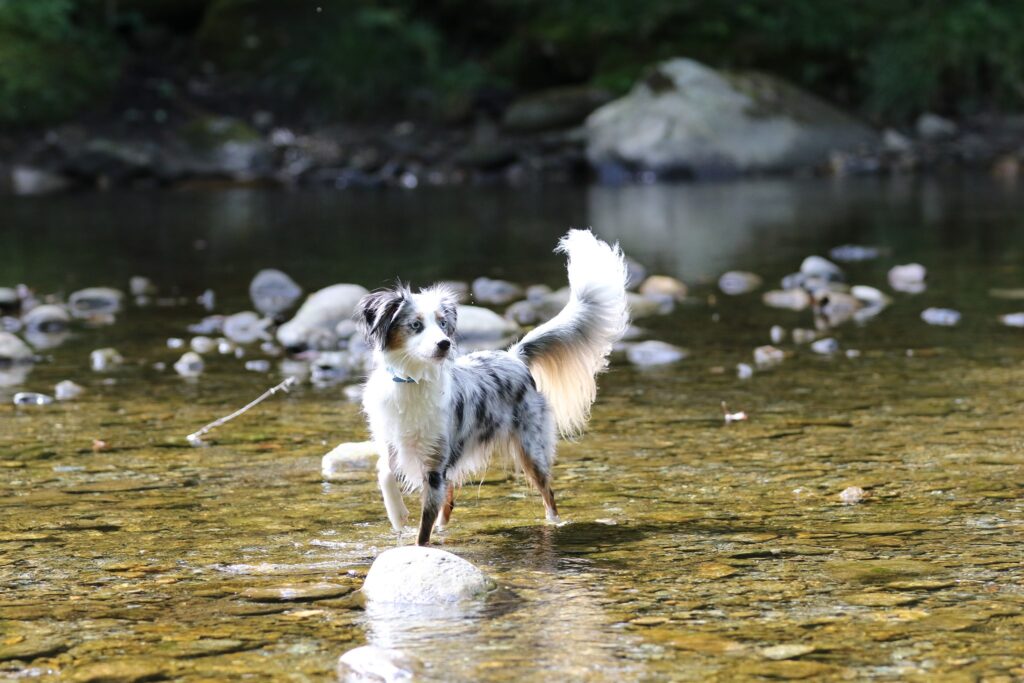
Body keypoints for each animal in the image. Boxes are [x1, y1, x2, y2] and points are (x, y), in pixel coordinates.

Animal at [356, 229, 626, 544]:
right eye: (415, 325)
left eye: (443, 324)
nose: (444, 344)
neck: (412, 379)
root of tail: (514, 356)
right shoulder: (392, 441)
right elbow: (385, 471)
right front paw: (398, 515)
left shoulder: (435, 466)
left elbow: (423, 531)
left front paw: (417, 546)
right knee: (449, 500)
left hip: (532, 450)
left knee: (548, 495)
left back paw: (554, 524)